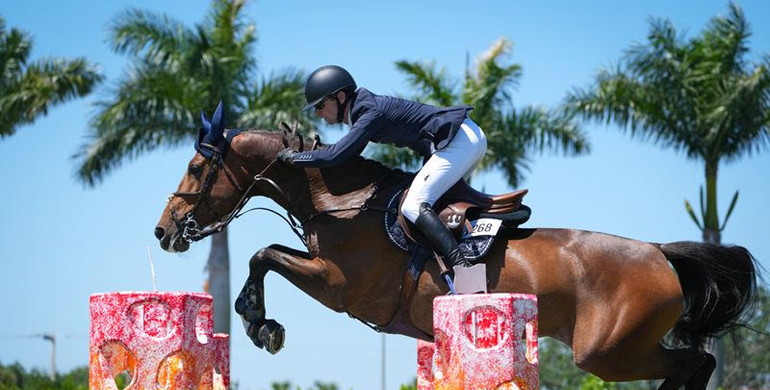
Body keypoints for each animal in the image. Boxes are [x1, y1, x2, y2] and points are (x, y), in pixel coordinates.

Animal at [152, 105, 756, 388]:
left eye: (197, 168)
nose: (163, 231)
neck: (339, 199)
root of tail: (660, 253)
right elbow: (268, 254)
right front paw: (261, 322)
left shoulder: (339, 287)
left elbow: (265, 256)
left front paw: (262, 325)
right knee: (695, 363)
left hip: (607, 352)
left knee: (695, 360)